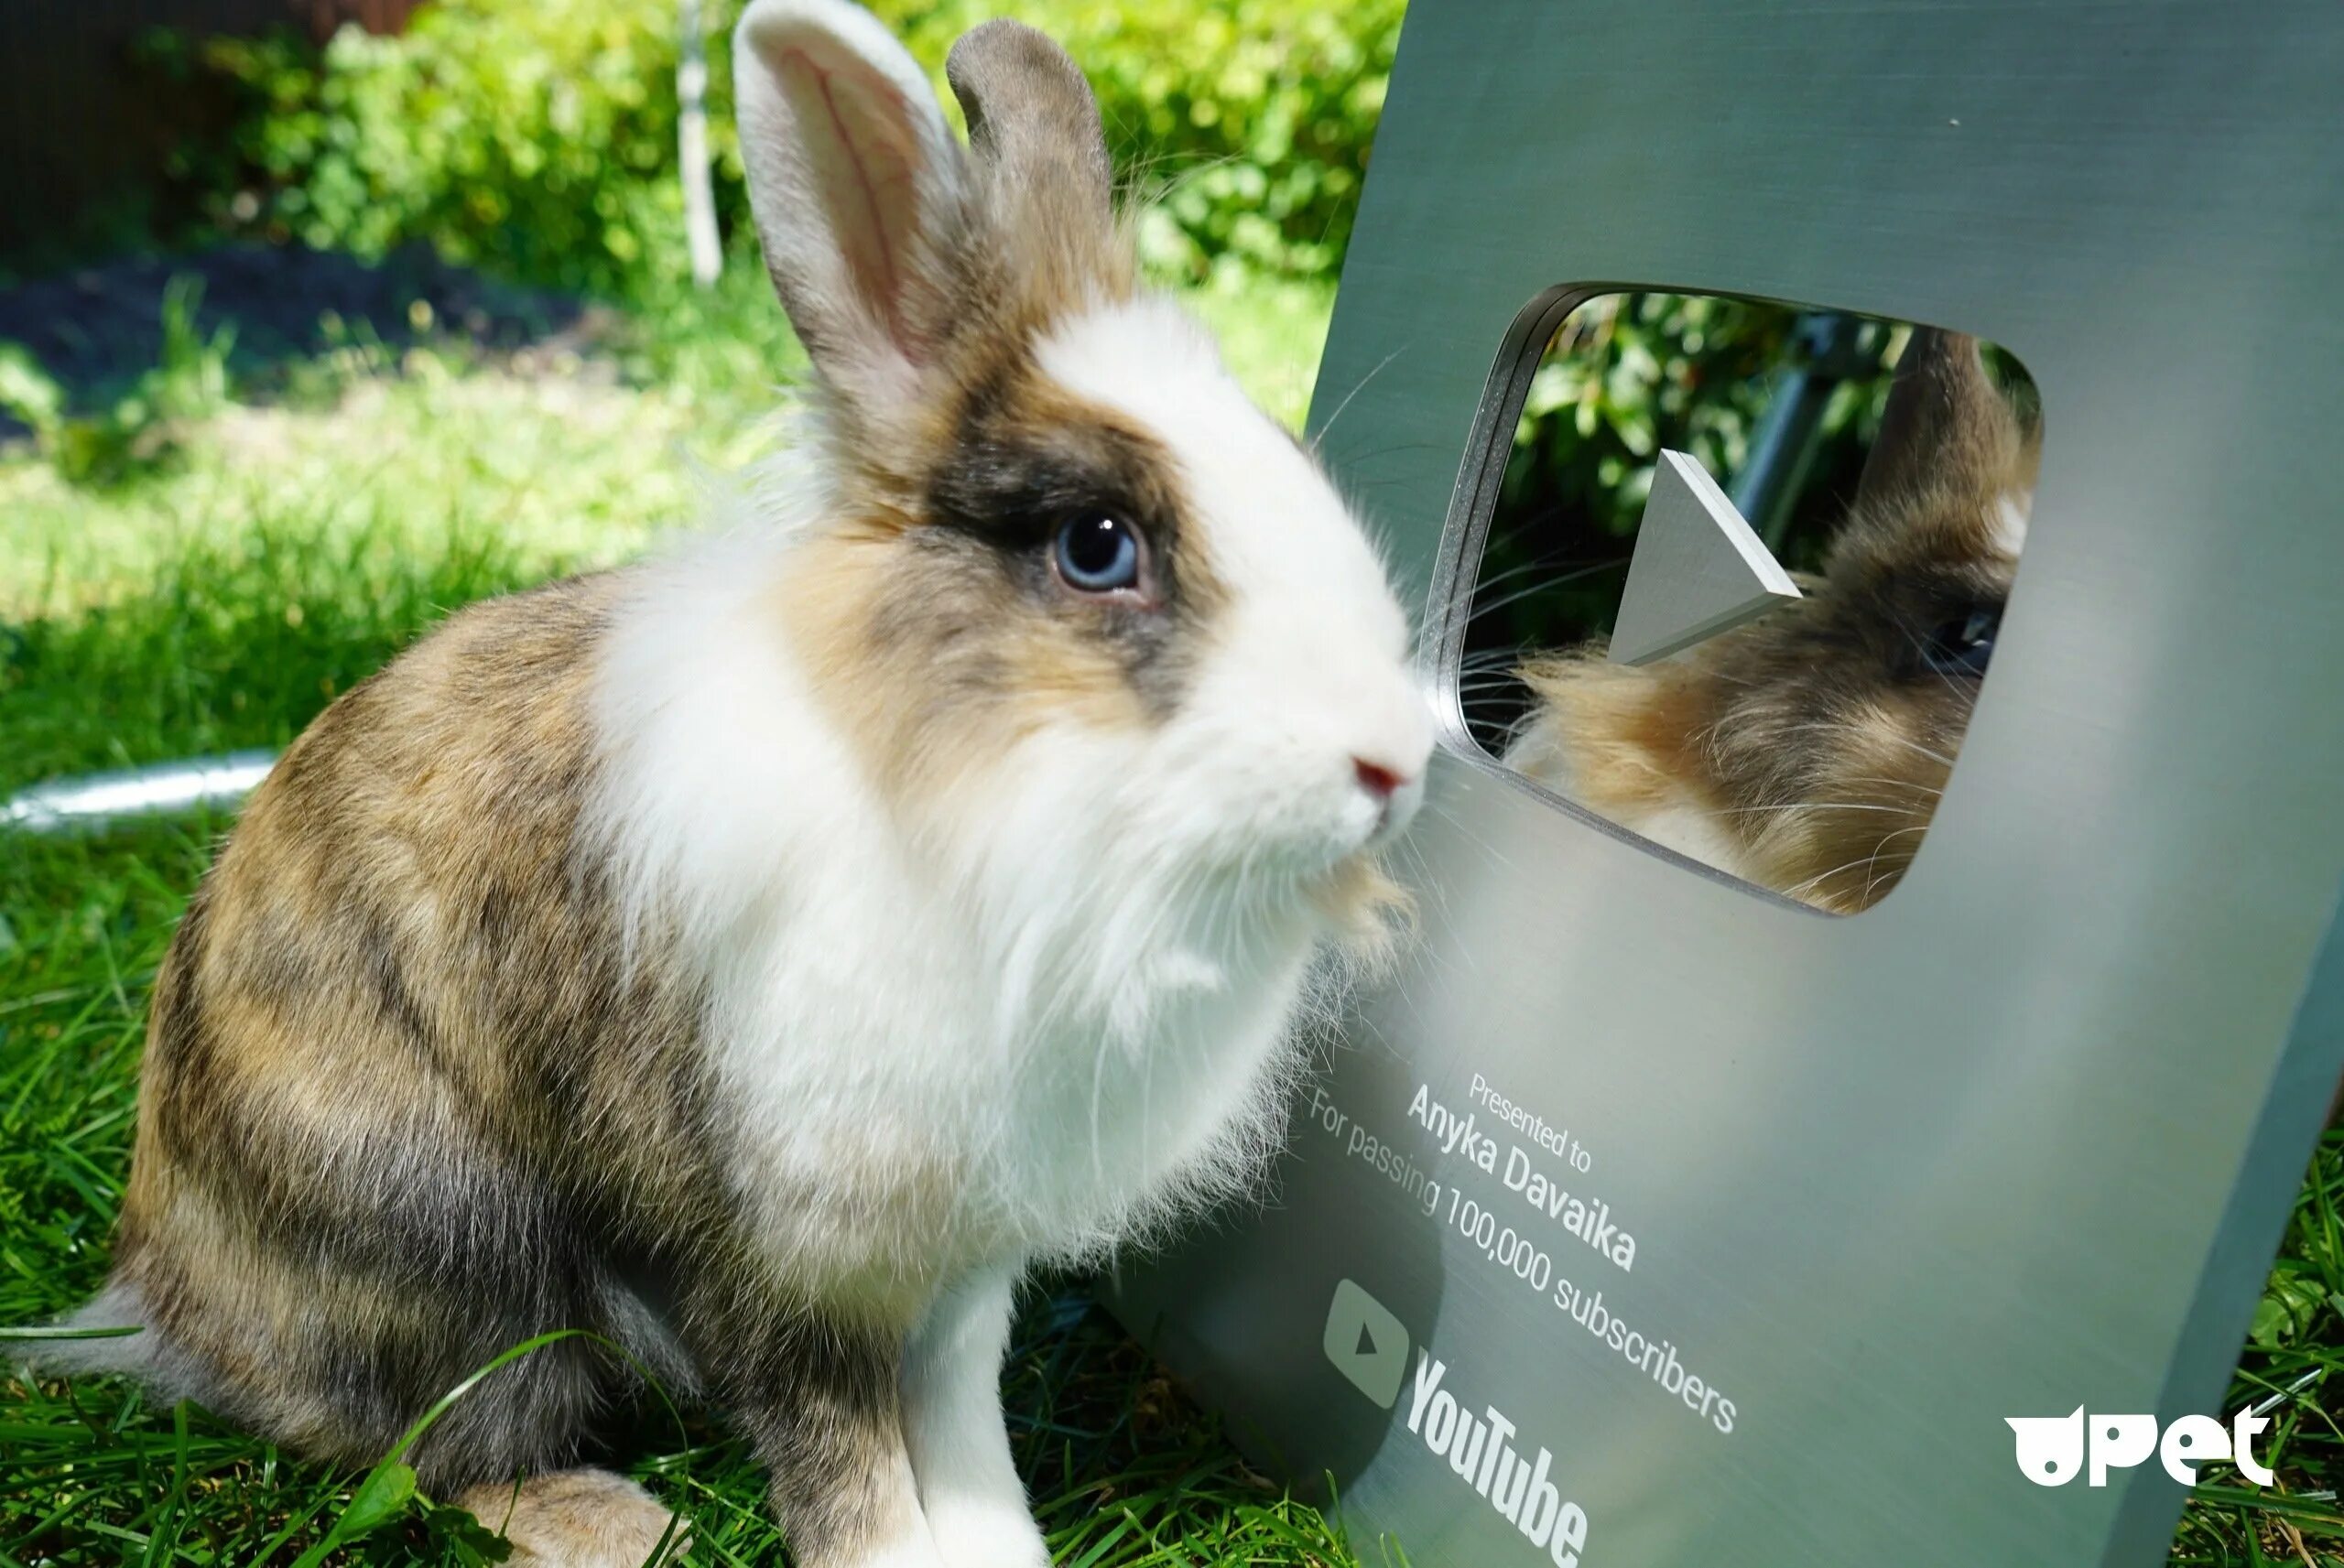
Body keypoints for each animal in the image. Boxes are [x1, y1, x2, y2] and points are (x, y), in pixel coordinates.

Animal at [37, 3, 1425, 1565]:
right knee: (434, 1443)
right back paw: (609, 1521)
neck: (982, 809)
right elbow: (835, 1442)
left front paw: (997, 1545)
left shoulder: (960, 1255)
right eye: (1096, 545)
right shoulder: (757, 1244)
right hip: (449, 1243)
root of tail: (167, 1302)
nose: (1396, 759)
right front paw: (890, 1555)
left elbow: (959, 1415)